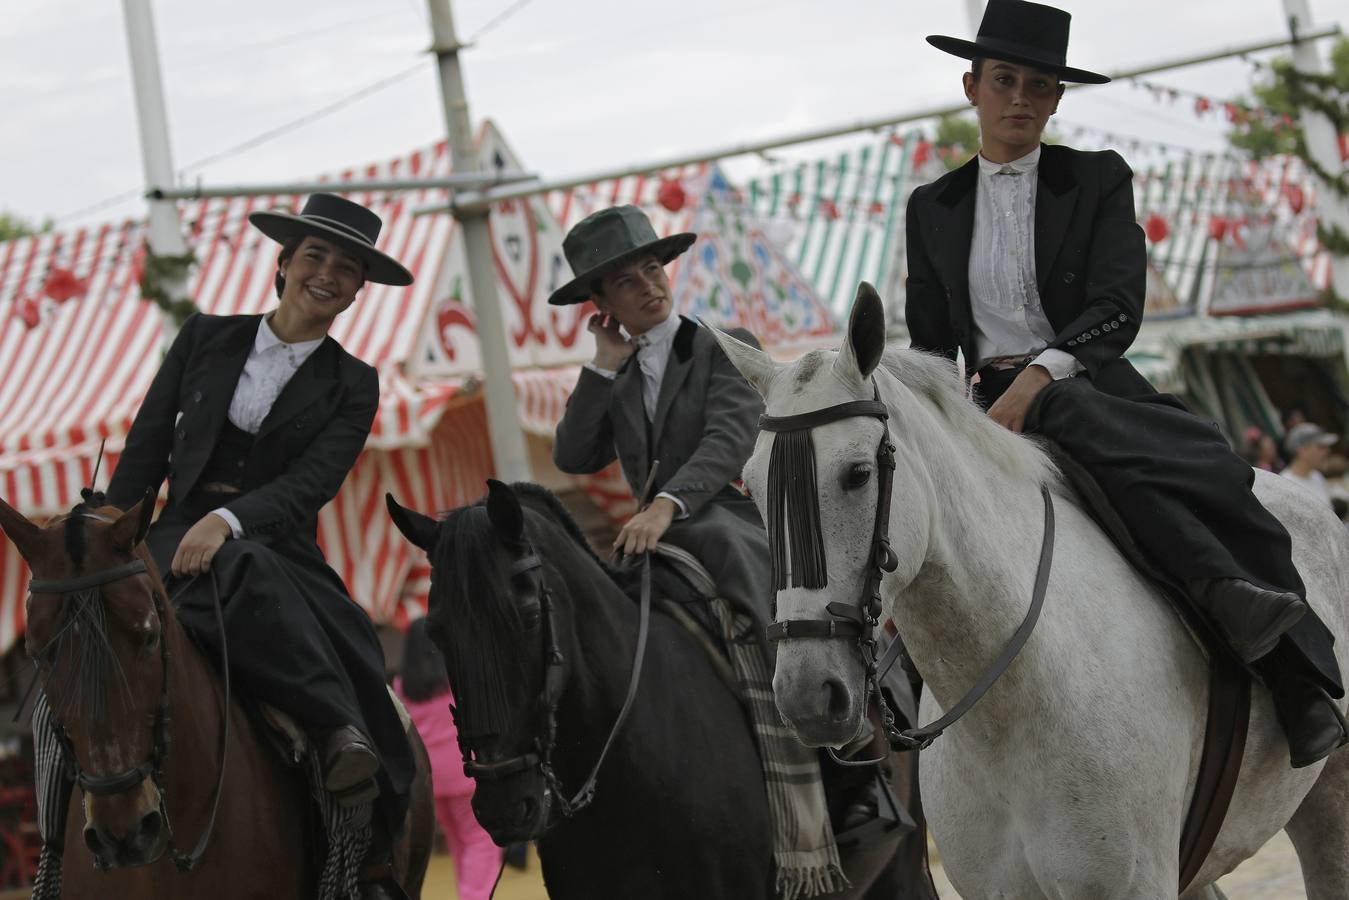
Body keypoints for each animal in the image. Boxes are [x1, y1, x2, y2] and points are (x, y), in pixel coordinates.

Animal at [712, 290, 1343, 900]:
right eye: (756, 489)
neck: (1010, 709)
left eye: (859, 473)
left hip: (1328, 806)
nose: (807, 699)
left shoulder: (1132, 885)